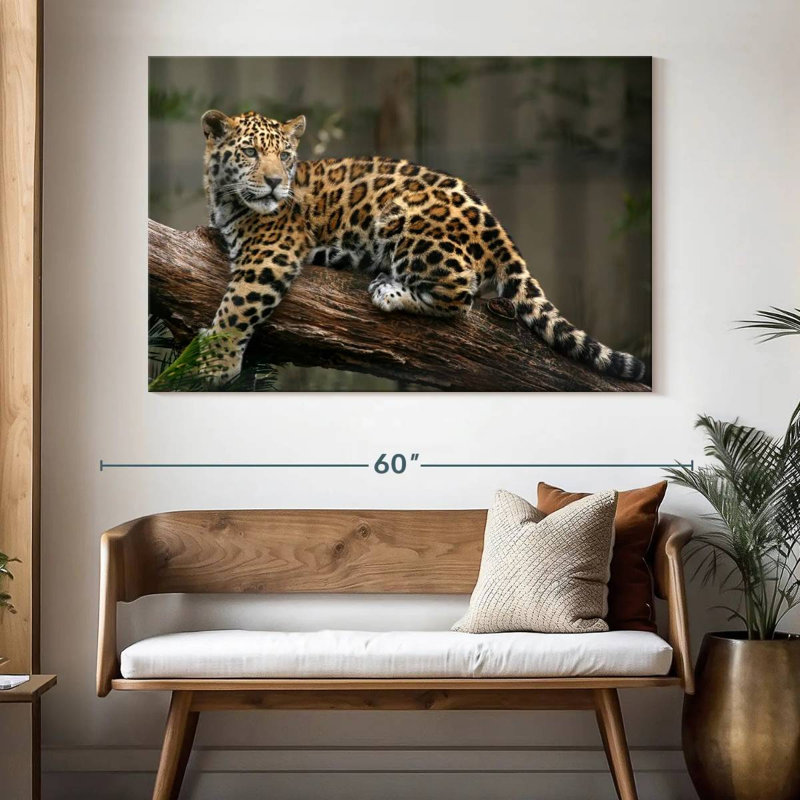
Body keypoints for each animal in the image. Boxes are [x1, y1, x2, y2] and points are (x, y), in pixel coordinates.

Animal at [197, 109, 646, 386]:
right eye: (250, 152)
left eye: (286, 156)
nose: (276, 182)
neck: (224, 197)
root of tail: (497, 226)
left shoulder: (270, 253)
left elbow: (238, 305)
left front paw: (213, 362)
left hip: (406, 222)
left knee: (461, 294)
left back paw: (390, 291)